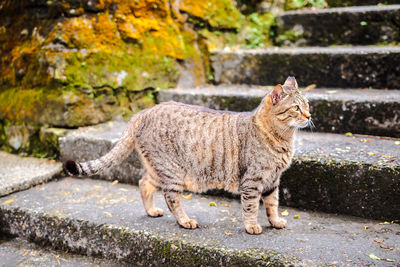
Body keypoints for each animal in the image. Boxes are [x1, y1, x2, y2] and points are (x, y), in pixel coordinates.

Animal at [65, 76, 312, 236]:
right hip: (173, 172)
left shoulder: (273, 179)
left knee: (144, 183)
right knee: (171, 198)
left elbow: (272, 203)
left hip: (159, 169)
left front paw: (276, 221)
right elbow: (251, 206)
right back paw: (185, 221)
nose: (310, 116)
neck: (282, 139)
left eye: (307, 105)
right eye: (296, 108)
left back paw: (151, 211)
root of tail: (143, 112)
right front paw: (252, 226)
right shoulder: (253, 180)